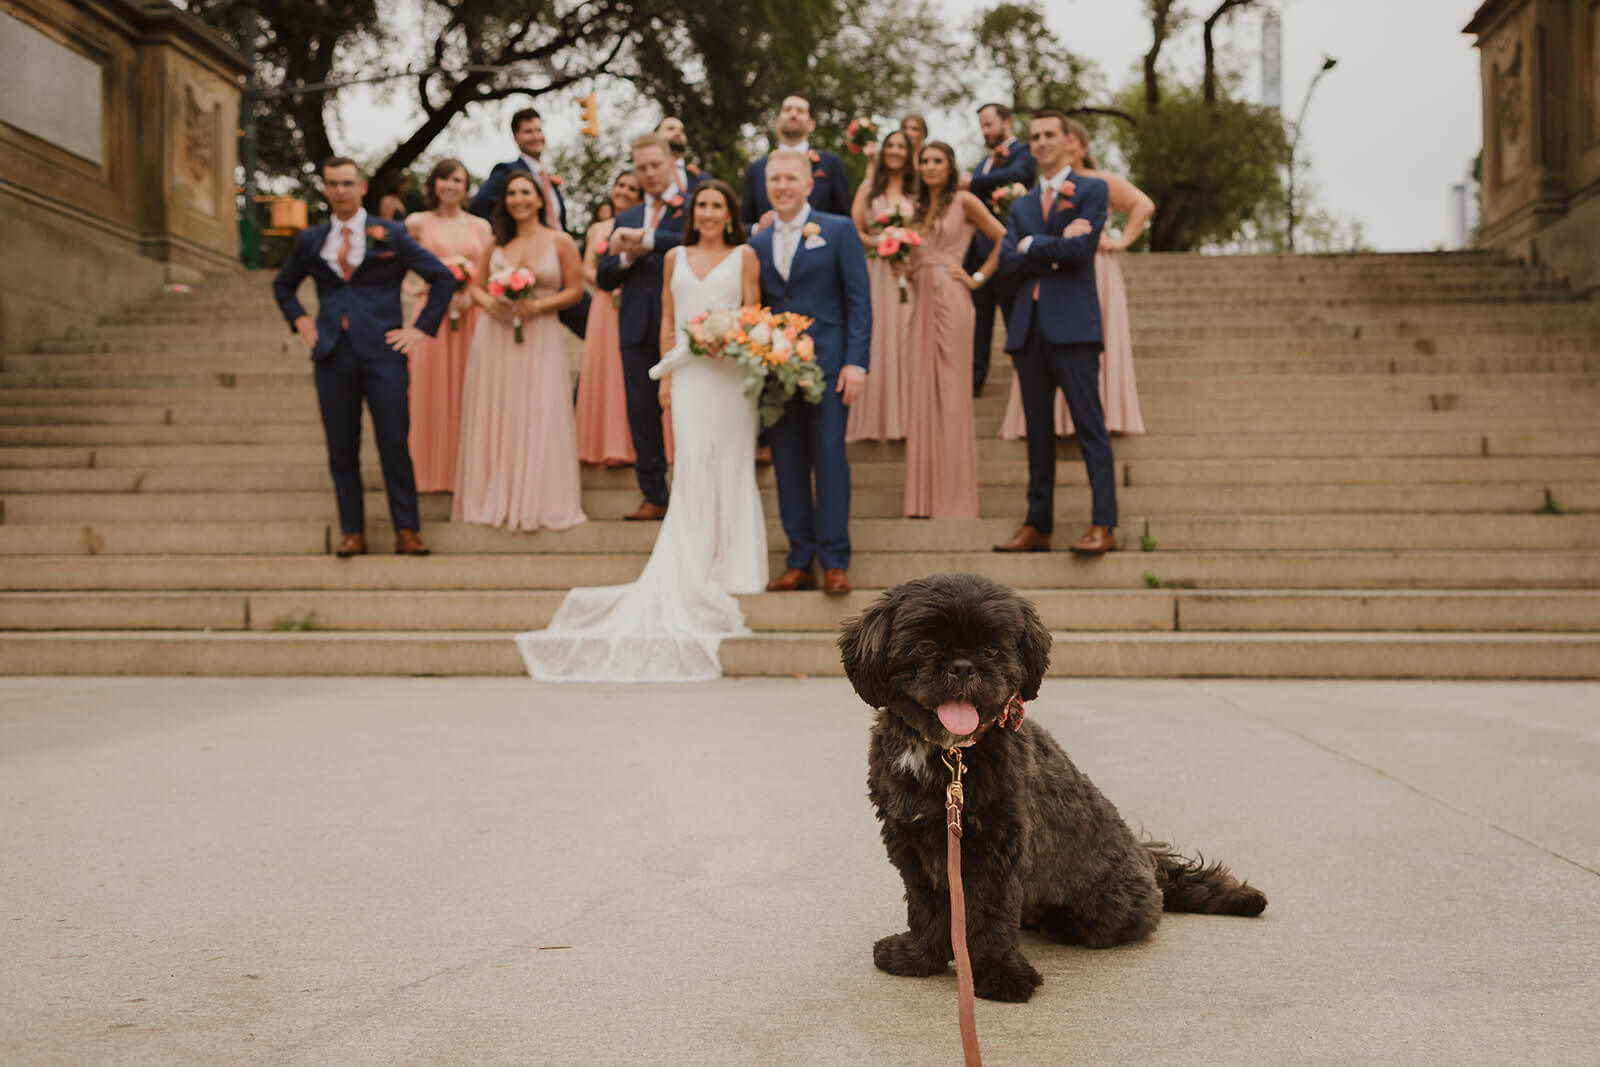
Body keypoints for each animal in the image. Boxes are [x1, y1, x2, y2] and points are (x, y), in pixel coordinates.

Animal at [844, 575, 1267, 1004]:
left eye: (992, 649)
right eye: (926, 646)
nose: (963, 667)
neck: (950, 754)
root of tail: (1149, 863)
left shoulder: (995, 849)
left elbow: (990, 913)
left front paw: (1000, 973)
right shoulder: (911, 841)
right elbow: (926, 904)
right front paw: (920, 957)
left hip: (1112, 900)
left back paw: (1062, 923)